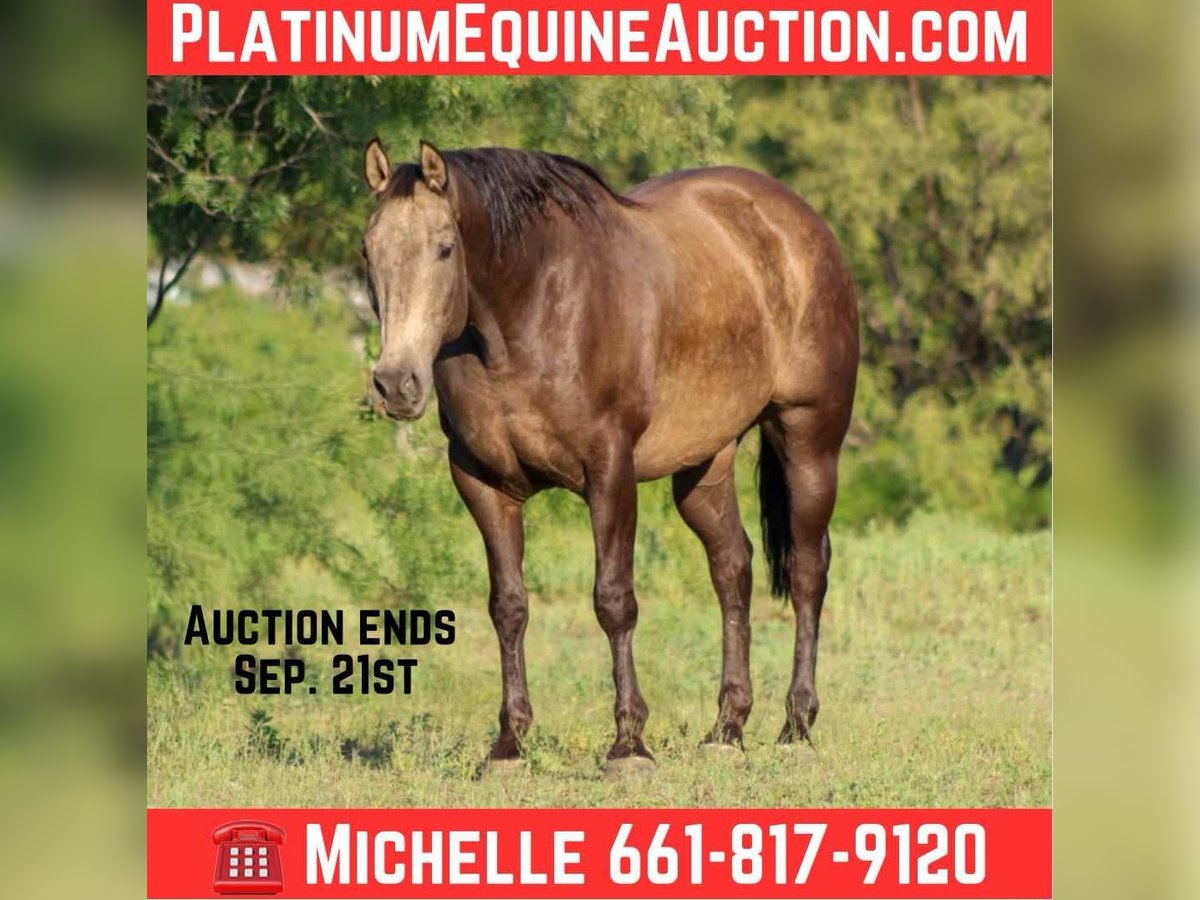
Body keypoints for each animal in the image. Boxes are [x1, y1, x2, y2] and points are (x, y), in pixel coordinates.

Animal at [359, 139, 859, 776]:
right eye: (368, 250)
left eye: (445, 247)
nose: (396, 384)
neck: (529, 310)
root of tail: (802, 224)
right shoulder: (482, 483)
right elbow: (509, 606)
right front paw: (509, 745)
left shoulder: (610, 472)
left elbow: (614, 600)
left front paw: (628, 746)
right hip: (704, 468)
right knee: (733, 570)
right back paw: (727, 728)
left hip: (809, 439)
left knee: (806, 572)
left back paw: (796, 725)